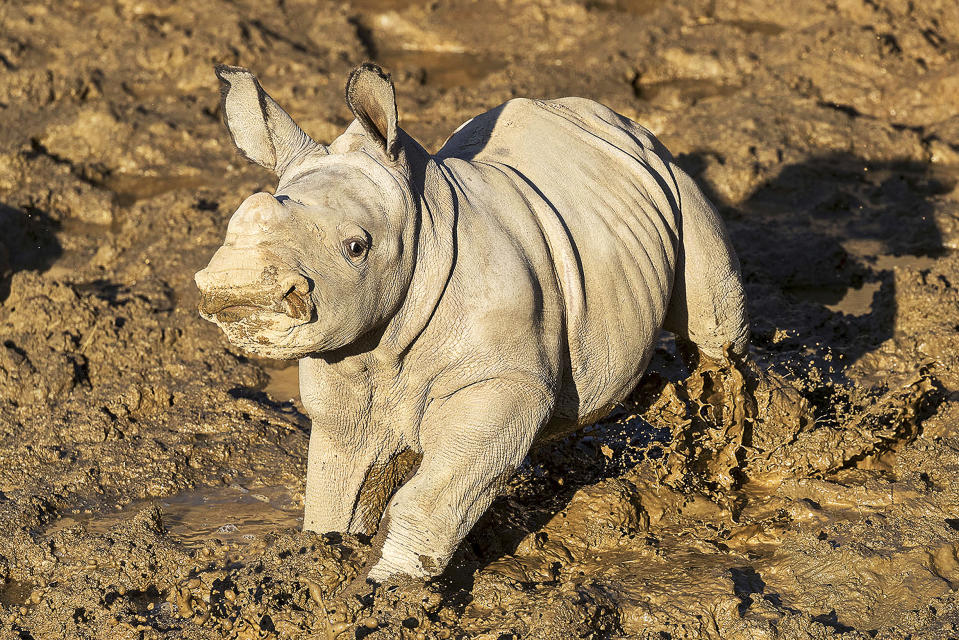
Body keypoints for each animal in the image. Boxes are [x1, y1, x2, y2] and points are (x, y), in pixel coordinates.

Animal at [195, 62, 752, 584]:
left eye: (356, 247)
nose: (235, 289)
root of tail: (617, 120)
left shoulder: (505, 382)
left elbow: (433, 496)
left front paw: (389, 592)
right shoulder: (345, 367)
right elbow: (338, 489)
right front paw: (327, 559)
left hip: (674, 174)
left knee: (716, 329)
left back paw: (729, 448)